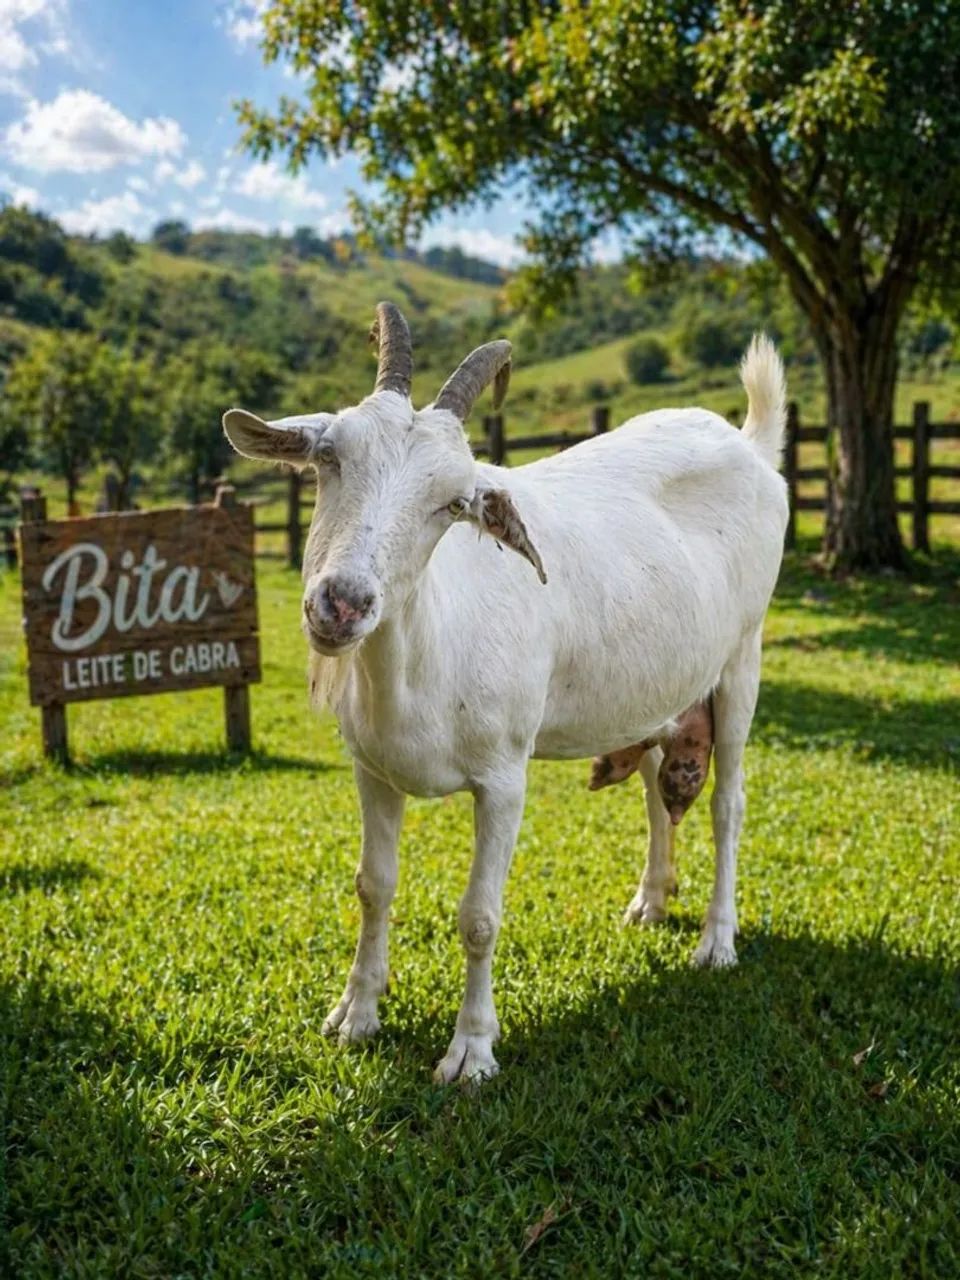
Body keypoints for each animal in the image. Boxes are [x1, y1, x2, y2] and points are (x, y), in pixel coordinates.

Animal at [223, 303, 788, 1083]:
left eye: (453, 503)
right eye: (330, 458)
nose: (341, 604)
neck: (430, 651)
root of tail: (751, 444)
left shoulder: (503, 780)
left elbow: (480, 916)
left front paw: (470, 1052)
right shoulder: (372, 770)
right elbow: (373, 885)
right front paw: (354, 1016)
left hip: (742, 656)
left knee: (729, 803)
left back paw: (716, 941)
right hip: (656, 684)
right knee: (654, 784)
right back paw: (649, 903)